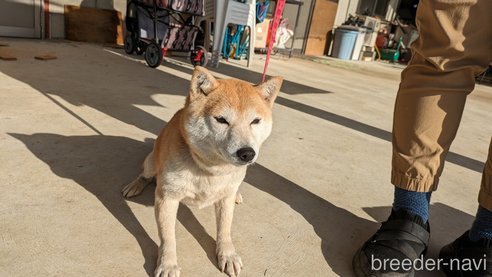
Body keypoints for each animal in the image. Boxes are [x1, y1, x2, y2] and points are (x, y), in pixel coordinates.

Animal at [121, 66, 282, 274]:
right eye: (221, 120)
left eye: (255, 121)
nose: (247, 153)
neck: (210, 170)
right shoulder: (167, 198)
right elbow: (168, 238)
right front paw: (168, 263)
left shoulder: (225, 200)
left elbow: (225, 229)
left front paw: (227, 254)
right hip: (151, 162)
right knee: (146, 175)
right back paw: (135, 185)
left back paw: (237, 193)